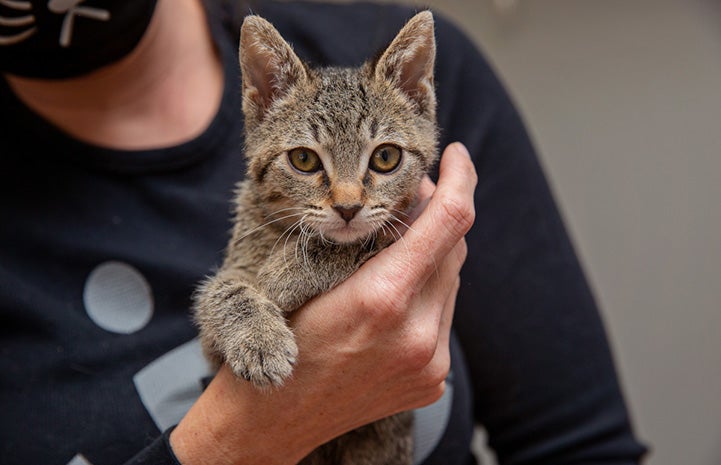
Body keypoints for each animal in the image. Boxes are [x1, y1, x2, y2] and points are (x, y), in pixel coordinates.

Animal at [193, 10, 434, 464]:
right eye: (303, 159)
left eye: (386, 157)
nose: (348, 207)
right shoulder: (213, 350)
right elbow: (220, 291)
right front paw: (258, 338)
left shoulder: (407, 219)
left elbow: (361, 240)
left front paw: (284, 274)